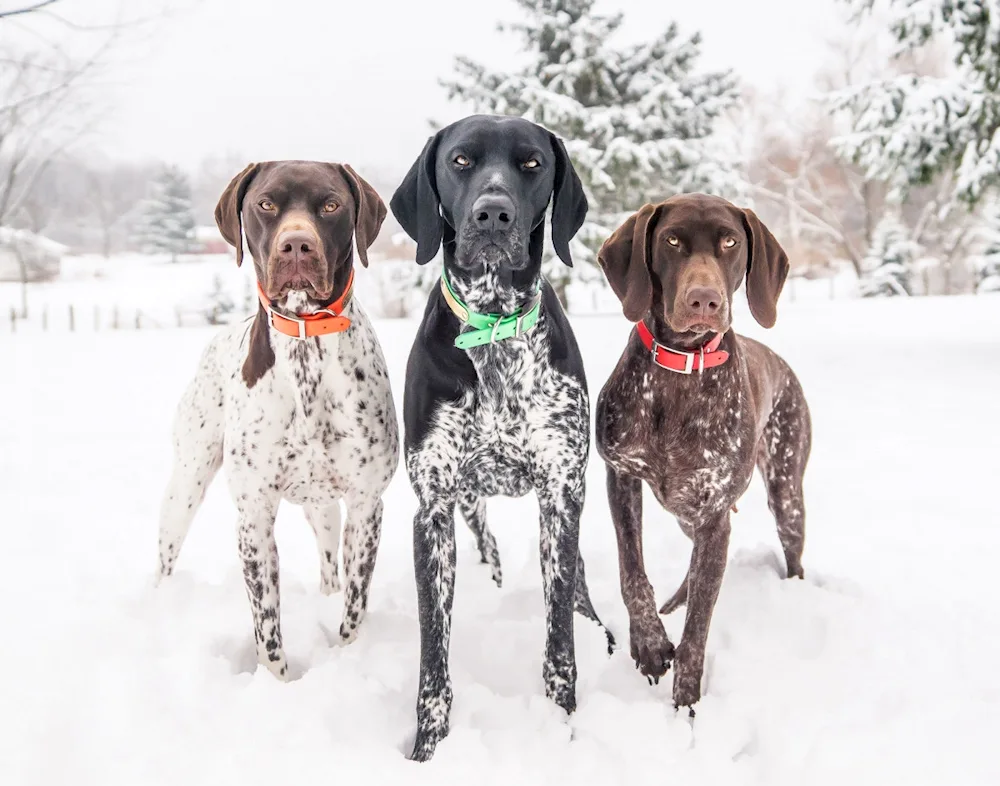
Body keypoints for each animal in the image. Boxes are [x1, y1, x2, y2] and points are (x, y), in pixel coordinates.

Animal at [156, 161, 398, 680]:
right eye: (265, 204)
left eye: (331, 204)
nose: (297, 245)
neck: (306, 341)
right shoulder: (254, 518)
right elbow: (266, 628)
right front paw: (277, 683)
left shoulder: (366, 505)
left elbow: (354, 606)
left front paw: (347, 658)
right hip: (186, 482)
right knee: (166, 552)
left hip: (324, 504)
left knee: (329, 562)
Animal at [394, 113, 612, 756]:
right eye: (461, 160)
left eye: (532, 163)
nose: (494, 214)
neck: (493, 327)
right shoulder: (433, 509)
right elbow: (434, 653)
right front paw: (427, 749)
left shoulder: (562, 497)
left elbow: (560, 639)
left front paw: (564, 727)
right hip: (468, 505)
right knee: (487, 546)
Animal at [596, 193, 808, 708]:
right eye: (672, 240)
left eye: (731, 242)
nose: (704, 300)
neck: (680, 369)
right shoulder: (621, 477)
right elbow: (632, 572)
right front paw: (650, 643)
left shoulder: (713, 513)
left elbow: (698, 629)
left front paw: (686, 706)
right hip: (684, 513)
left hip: (785, 497)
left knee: (791, 556)